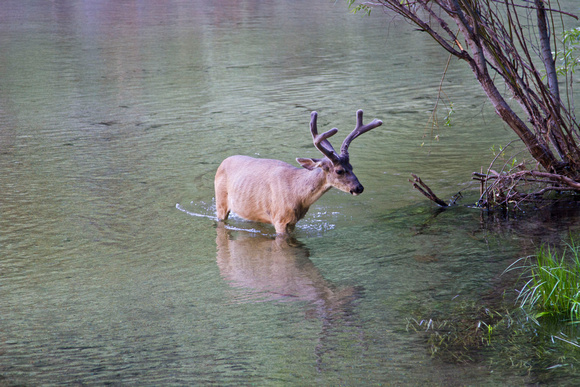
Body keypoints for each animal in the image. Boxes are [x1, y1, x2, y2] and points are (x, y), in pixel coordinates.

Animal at [215, 110, 382, 235]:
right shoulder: (280, 218)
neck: (298, 195)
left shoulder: (293, 222)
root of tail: (222, 163)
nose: (359, 188)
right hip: (220, 201)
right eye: (339, 171)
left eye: (352, 166)